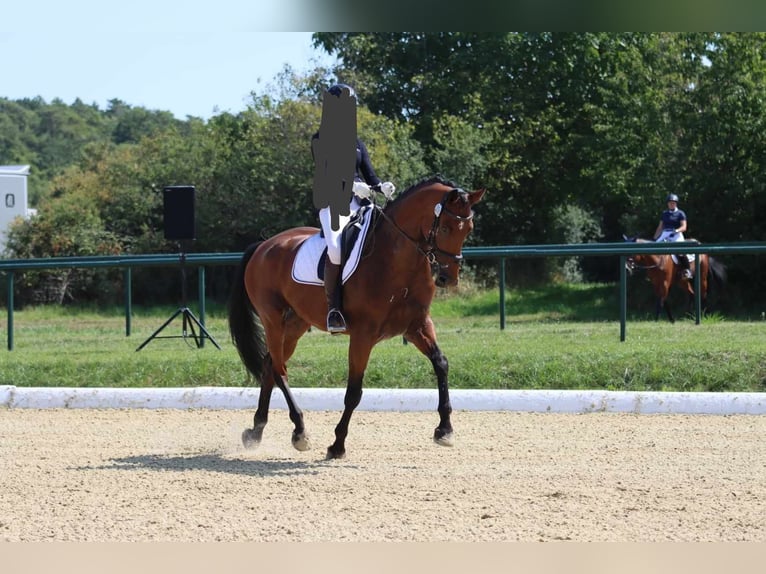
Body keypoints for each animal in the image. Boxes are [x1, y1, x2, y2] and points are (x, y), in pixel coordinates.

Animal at [228, 178, 486, 462]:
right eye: (447, 227)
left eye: (469, 228)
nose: (447, 278)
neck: (398, 260)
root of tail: (263, 246)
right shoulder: (364, 335)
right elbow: (354, 392)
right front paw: (337, 445)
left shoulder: (417, 327)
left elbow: (441, 363)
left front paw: (445, 430)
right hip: (272, 318)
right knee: (278, 369)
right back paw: (300, 431)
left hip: (296, 323)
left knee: (269, 365)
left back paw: (256, 431)